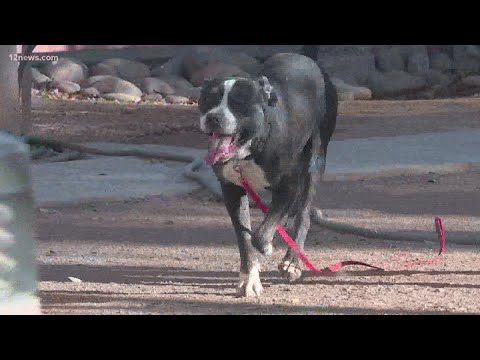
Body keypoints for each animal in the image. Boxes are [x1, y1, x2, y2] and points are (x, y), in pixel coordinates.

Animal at [199, 52, 338, 296]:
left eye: (239, 102)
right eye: (207, 100)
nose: (213, 117)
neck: (251, 149)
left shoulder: (288, 185)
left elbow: (260, 233)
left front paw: (266, 245)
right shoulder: (232, 190)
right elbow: (244, 238)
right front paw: (249, 279)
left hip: (315, 159)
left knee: (303, 213)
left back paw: (292, 261)